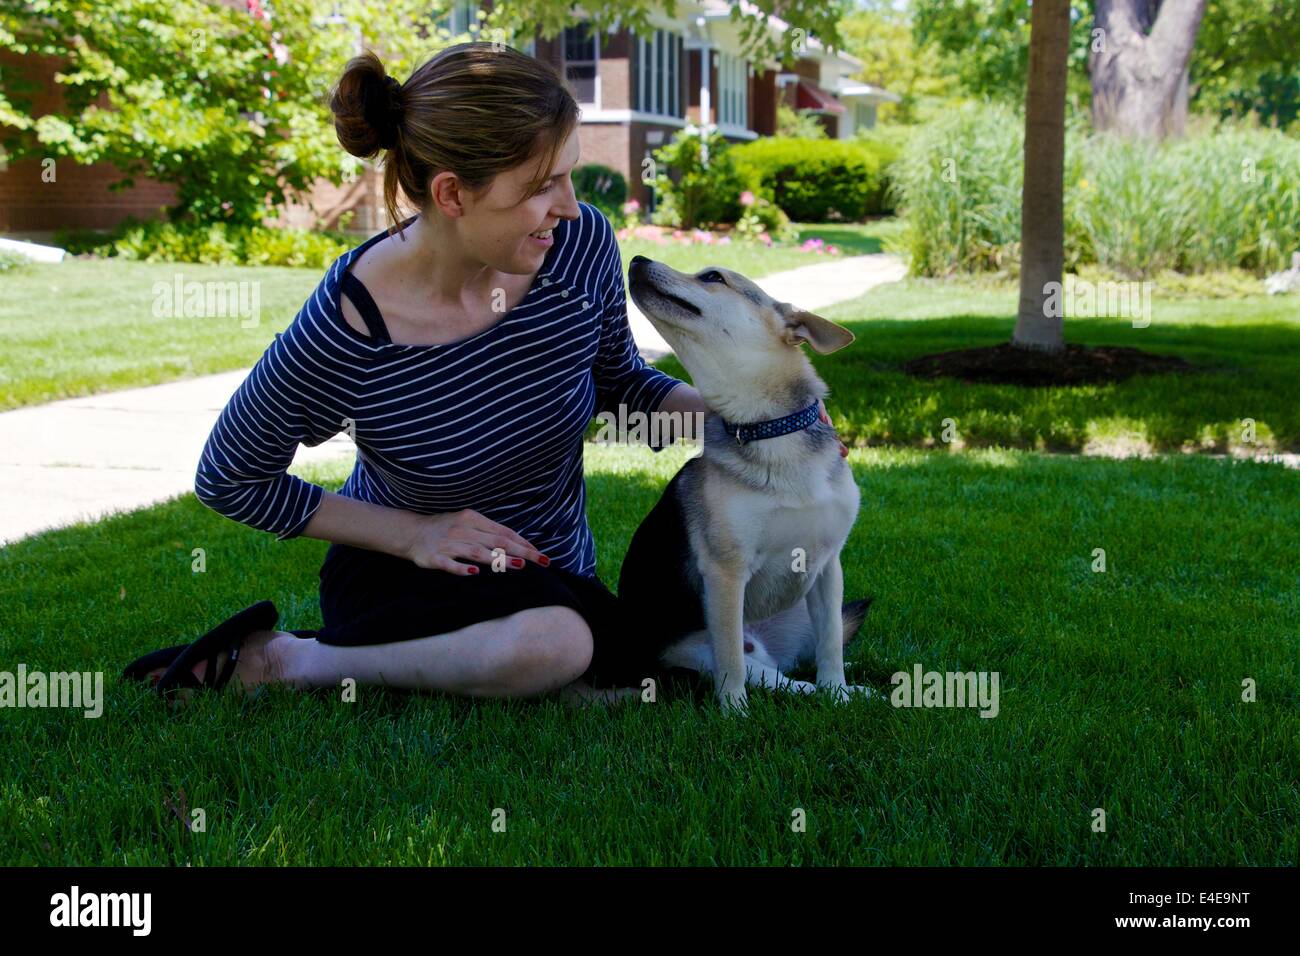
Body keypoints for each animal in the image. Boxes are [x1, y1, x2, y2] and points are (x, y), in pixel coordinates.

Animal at [574, 254, 868, 712]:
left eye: (712, 277)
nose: (637, 259)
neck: (769, 431)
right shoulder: (725, 573)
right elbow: (730, 655)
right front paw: (734, 711)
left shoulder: (826, 569)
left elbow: (831, 644)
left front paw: (837, 692)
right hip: (693, 651)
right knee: (767, 674)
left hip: (801, 610)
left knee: (803, 658)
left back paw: (849, 686)